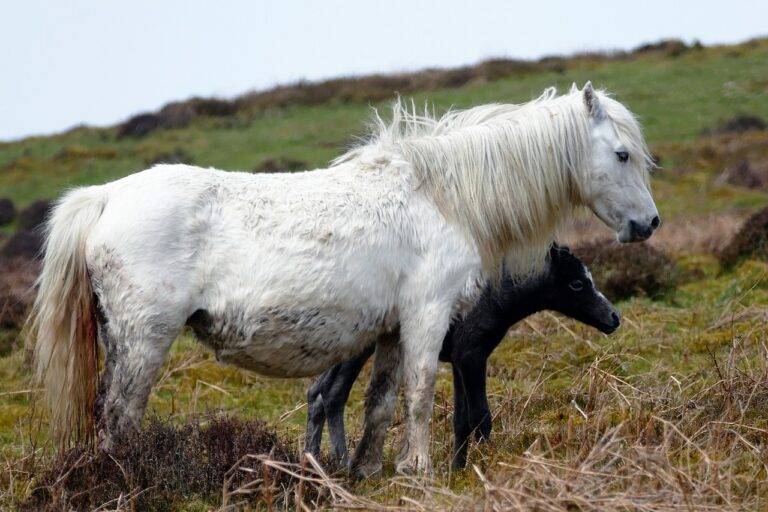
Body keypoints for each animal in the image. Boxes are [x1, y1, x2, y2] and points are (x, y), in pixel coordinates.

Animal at [304, 244, 616, 468]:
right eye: (576, 283)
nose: (614, 318)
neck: (492, 295)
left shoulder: (458, 359)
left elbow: (461, 420)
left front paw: (458, 469)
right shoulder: (471, 355)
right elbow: (481, 417)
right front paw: (487, 465)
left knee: (317, 392)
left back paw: (314, 462)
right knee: (333, 394)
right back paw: (342, 464)